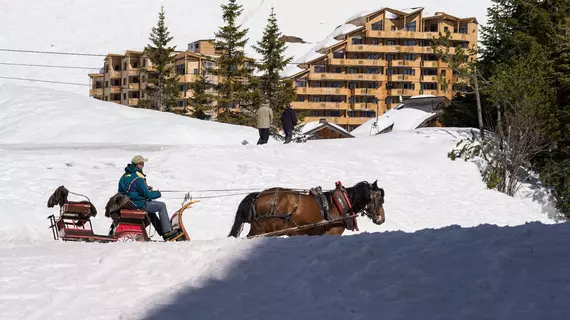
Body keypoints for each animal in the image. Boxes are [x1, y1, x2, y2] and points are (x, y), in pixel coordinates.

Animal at [229, 180, 384, 238]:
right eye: (381, 199)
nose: (381, 219)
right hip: (262, 230)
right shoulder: (331, 233)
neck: (339, 204)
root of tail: (257, 196)